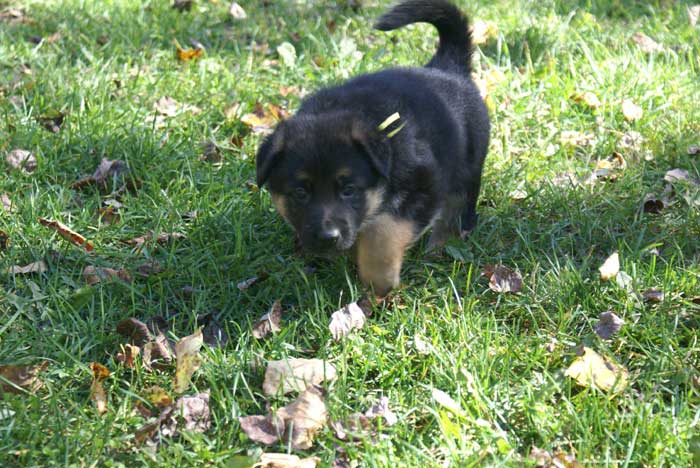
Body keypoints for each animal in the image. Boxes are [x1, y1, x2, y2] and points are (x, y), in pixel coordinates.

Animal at [254, 0, 490, 296]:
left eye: (349, 190)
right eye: (300, 193)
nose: (327, 238)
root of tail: (447, 67)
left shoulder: (426, 183)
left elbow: (384, 230)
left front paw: (378, 279)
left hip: (469, 164)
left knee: (460, 207)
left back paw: (443, 243)